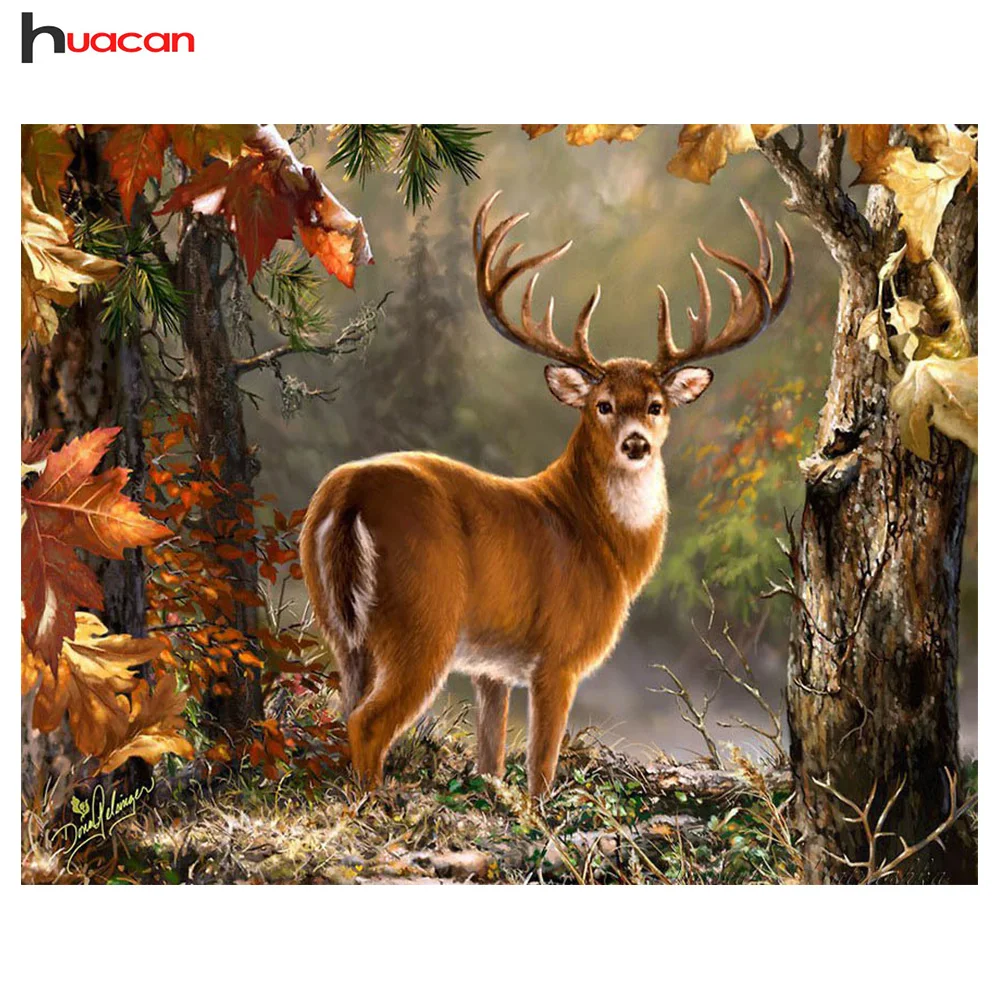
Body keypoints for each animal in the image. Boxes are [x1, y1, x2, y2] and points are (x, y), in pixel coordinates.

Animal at [300, 191, 793, 798]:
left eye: (656, 405)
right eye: (602, 405)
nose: (635, 443)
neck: (603, 544)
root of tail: (349, 495)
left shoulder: (490, 667)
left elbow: (490, 759)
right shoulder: (559, 656)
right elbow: (540, 768)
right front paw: (539, 815)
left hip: (340, 627)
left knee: (344, 710)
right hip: (424, 618)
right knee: (368, 722)